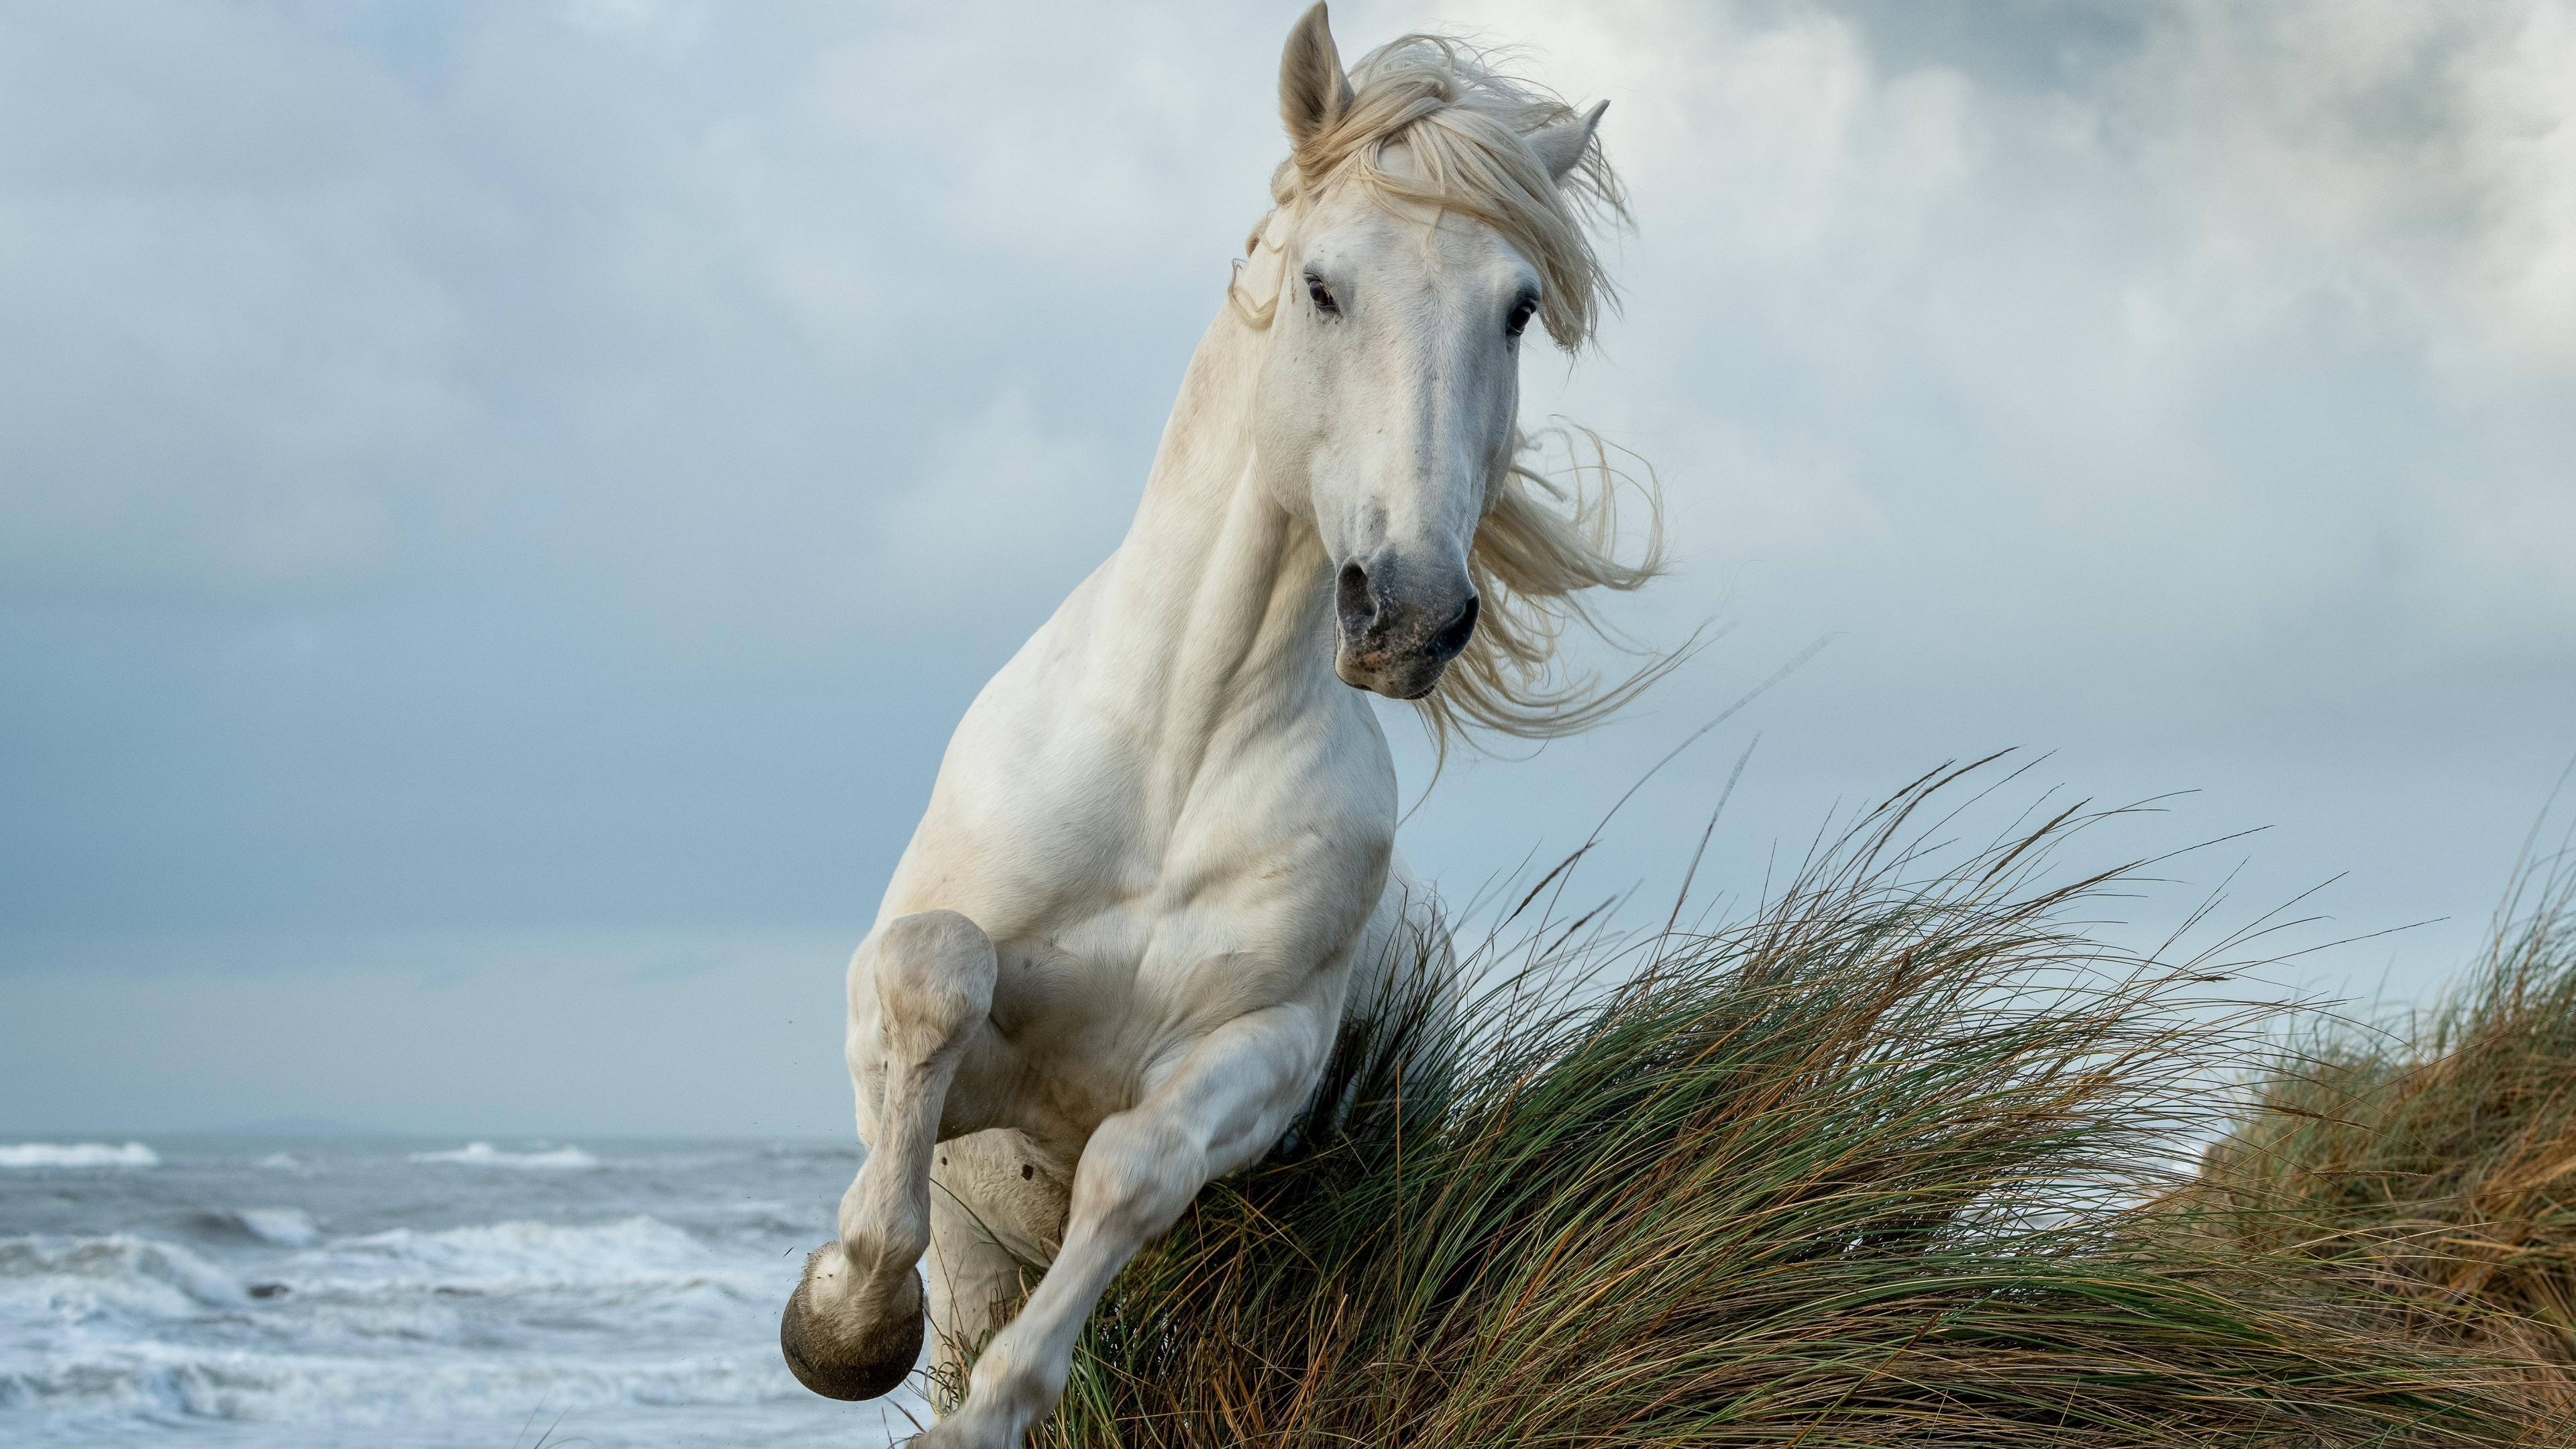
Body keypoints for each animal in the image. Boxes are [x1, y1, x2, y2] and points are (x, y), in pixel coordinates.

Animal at [780, 7, 1668, 1443]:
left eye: (1518, 309)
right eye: (1322, 286)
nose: (1410, 611)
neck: (1177, 758)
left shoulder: (1260, 1055)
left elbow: (1135, 1166)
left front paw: (994, 1416)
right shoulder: (930, 1047)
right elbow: (936, 977)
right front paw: (843, 1324)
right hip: (981, 1233)